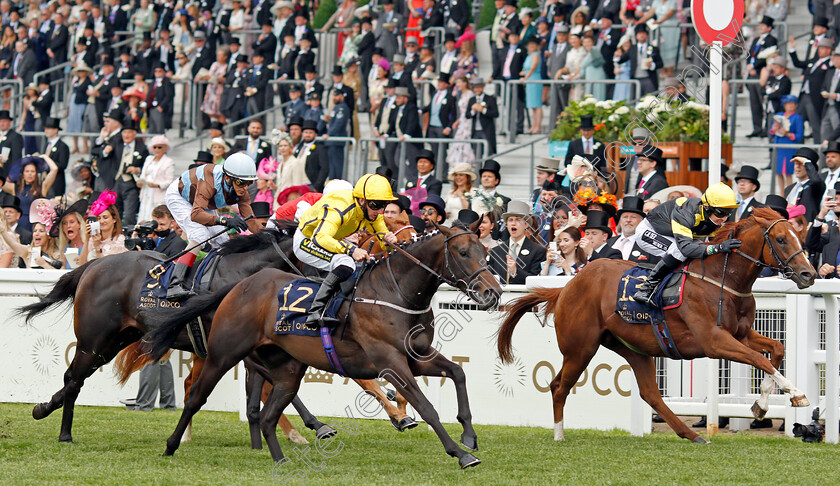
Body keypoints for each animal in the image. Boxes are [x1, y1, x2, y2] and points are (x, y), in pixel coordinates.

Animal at [14, 215, 416, 446]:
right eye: (343, 251)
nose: (351, 285)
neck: (247, 275)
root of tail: (94, 264)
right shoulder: (242, 345)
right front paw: (319, 426)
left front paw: (398, 411)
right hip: (95, 338)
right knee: (74, 377)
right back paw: (64, 431)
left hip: (117, 340)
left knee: (75, 378)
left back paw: (45, 409)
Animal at [141, 224, 502, 468]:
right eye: (463, 253)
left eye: (485, 252)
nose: (493, 293)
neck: (394, 292)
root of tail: (239, 285)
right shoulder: (390, 361)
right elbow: (425, 406)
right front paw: (460, 453)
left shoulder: (418, 357)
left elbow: (457, 373)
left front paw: (469, 435)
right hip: (223, 354)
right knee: (196, 397)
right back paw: (171, 445)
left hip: (287, 368)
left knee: (269, 414)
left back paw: (281, 459)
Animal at [498, 209, 812, 444]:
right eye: (781, 239)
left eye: (800, 236)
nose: (808, 274)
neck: (722, 280)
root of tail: (567, 286)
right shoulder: (713, 340)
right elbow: (760, 358)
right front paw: (797, 395)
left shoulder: (740, 334)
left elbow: (776, 349)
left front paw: (760, 406)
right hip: (580, 348)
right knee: (558, 386)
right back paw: (559, 435)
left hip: (633, 348)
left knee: (650, 393)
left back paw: (693, 435)